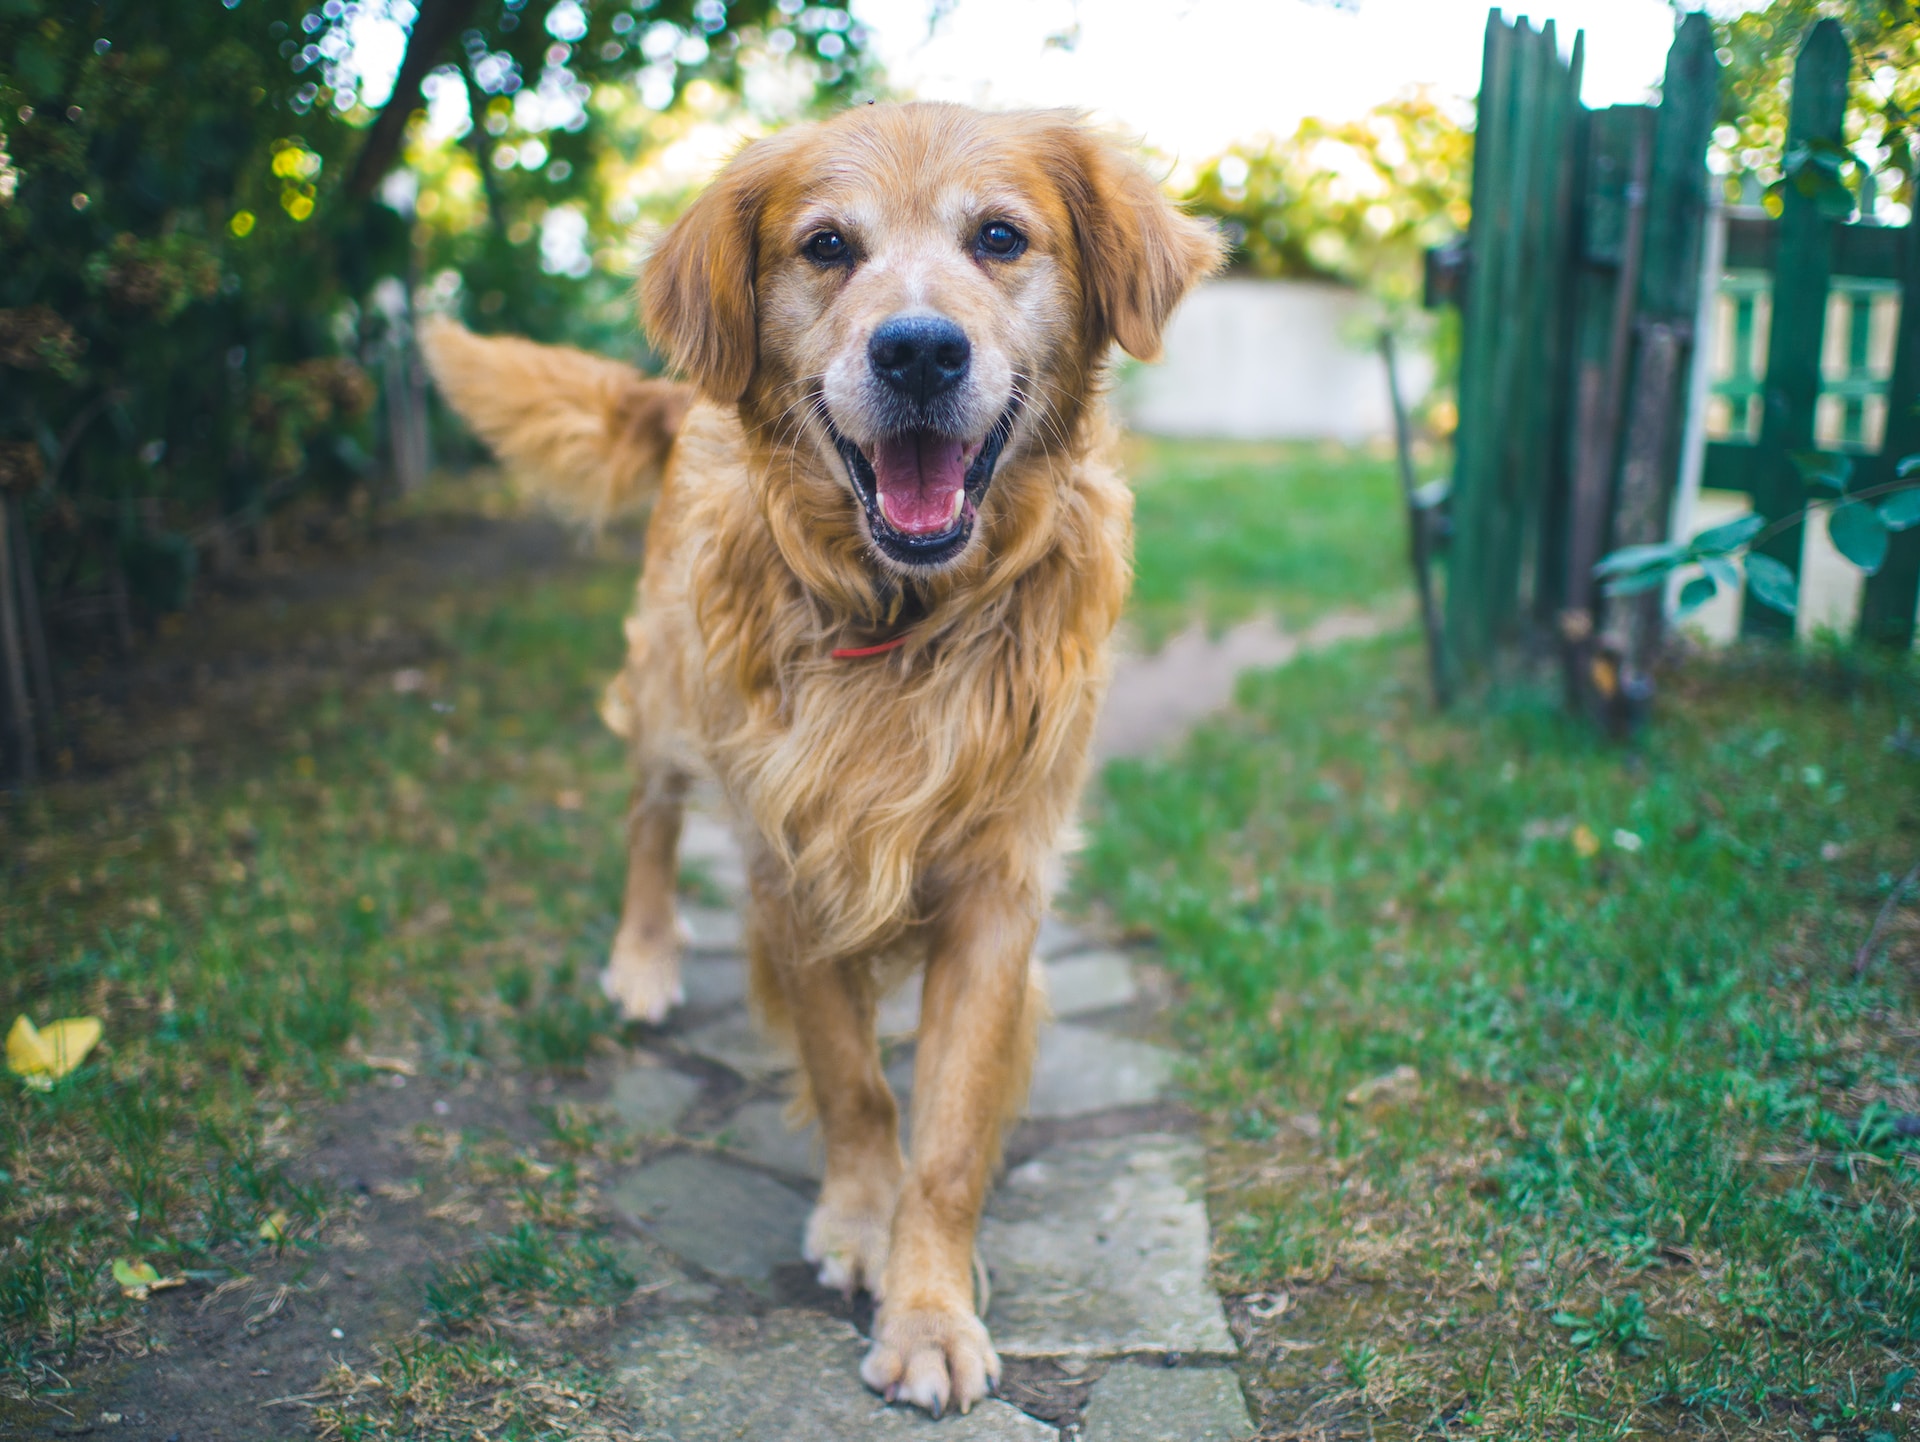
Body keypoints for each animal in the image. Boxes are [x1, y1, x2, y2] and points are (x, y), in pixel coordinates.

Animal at [430, 104, 1221, 1420]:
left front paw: (929, 1303)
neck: (905, 621)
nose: (919, 353)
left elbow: (945, 1130)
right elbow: (856, 1081)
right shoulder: (789, 864)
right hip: (669, 697)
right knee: (648, 820)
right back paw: (644, 959)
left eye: (1000, 237)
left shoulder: (999, 889)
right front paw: (861, 1220)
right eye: (827, 247)